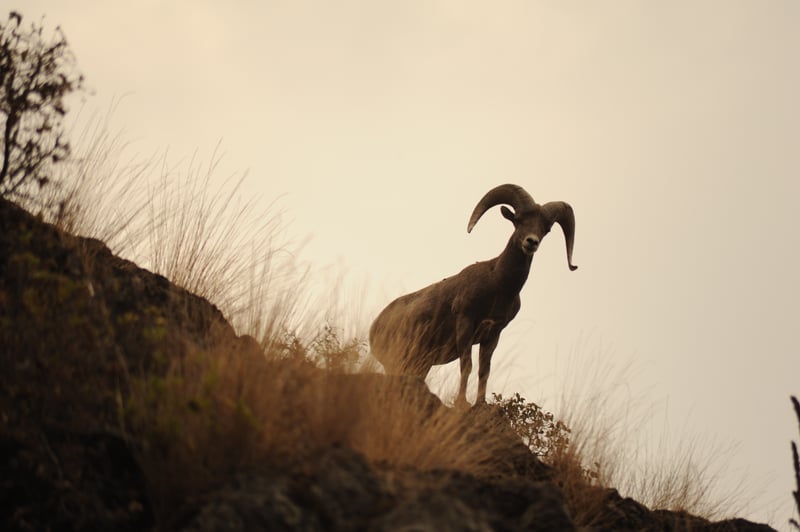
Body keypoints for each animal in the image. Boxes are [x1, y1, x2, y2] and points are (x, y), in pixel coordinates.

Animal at [369, 184, 577, 407]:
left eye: (545, 229)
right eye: (519, 220)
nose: (531, 242)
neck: (498, 286)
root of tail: (375, 325)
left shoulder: (492, 335)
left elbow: (484, 371)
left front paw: (480, 403)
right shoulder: (465, 324)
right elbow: (467, 365)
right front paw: (462, 402)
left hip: (417, 365)